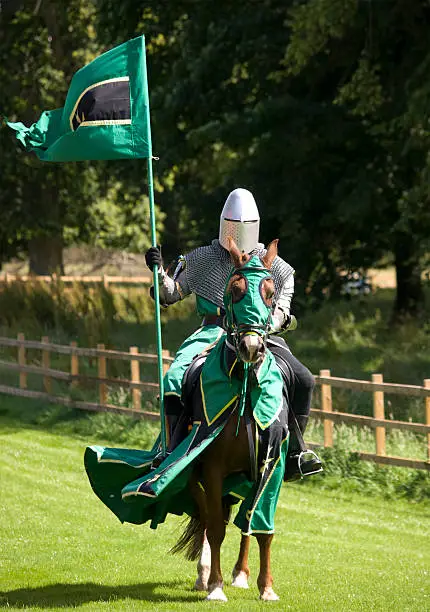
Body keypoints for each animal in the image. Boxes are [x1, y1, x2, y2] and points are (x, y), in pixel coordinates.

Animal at [171, 235, 288, 604]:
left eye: (270, 292)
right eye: (235, 289)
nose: (252, 347)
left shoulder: (271, 465)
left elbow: (261, 527)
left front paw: (266, 587)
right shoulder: (211, 469)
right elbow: (216, 527)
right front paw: (215, 586)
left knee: (243, 520)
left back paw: (240, 574)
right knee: (210, 517)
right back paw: (207, 575)